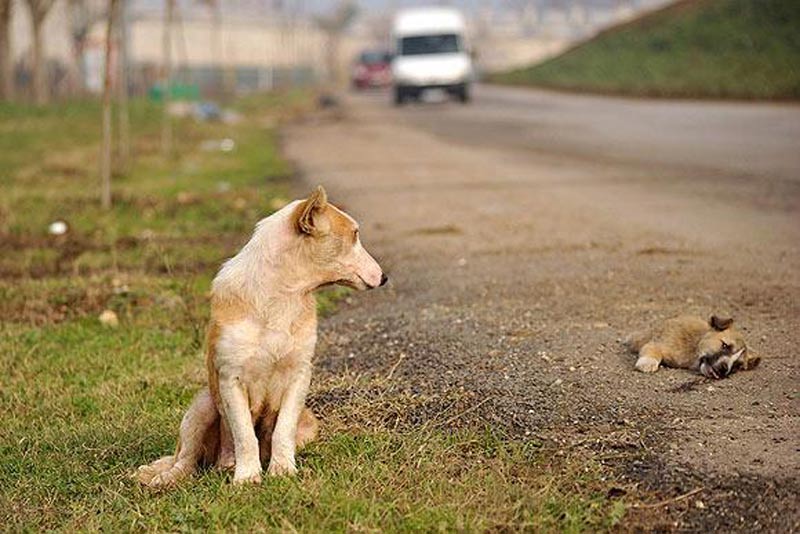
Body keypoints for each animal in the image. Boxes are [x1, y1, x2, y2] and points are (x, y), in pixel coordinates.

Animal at [138, 185, 388, 490]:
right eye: (354, 234)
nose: (385, 277)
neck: (282, 295)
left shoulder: (299, 376)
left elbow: (282, 430)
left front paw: (282, 469)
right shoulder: (230, 380)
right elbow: (245, 435)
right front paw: (247, 477)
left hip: (308, 424)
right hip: (202, 406)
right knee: (186, 460)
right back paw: (170, 477)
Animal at [624, 314, 764, 382]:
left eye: (737, 365)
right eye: (724, 345)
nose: (724, 369)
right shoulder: (656, 344)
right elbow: (653, 351)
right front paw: (647, 362)